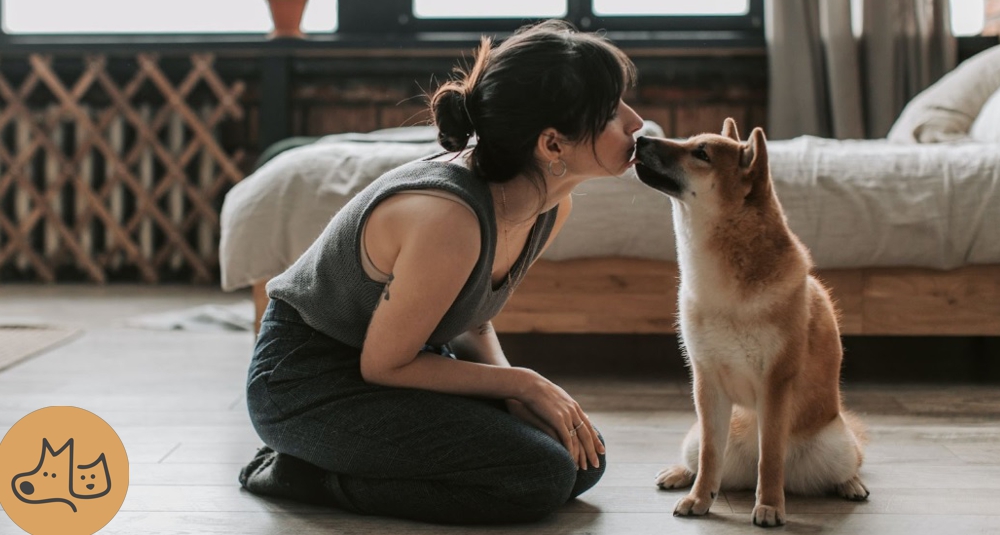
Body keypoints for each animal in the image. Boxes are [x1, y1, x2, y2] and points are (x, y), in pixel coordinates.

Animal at [636, 120, 872, 528]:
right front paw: (700, 498)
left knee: (846, 463)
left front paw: (770, 506)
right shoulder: (707, 382)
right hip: (697, 434)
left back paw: (850, 484)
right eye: (688, 141)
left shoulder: (775, 383)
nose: (639, 138)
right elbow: (710, 457)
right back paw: (679, 474)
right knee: (702, 459)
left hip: (835, 444)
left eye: (701, 153)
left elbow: (771, 456)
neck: (723, 288)